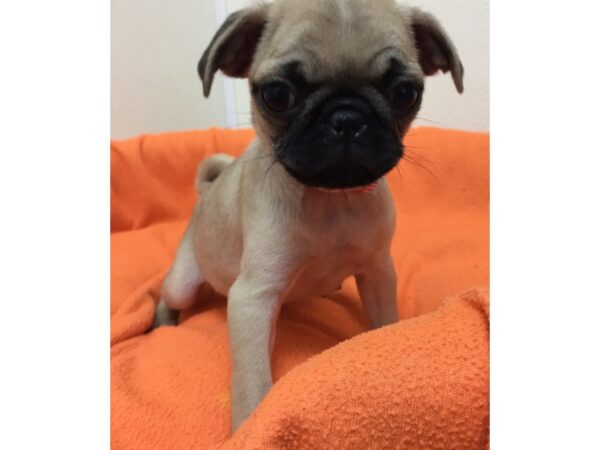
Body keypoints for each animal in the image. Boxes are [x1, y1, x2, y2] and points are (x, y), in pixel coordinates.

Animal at [152, 0, 462, 430]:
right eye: (277, 95)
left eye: (404, 93)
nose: (347, 117)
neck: (331, 200)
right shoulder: (253, 298)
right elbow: (252, 379)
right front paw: (247, 426)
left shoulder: (378, 272)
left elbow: (385, 320)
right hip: (183, 279)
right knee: (167, 293)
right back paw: (163, 322)